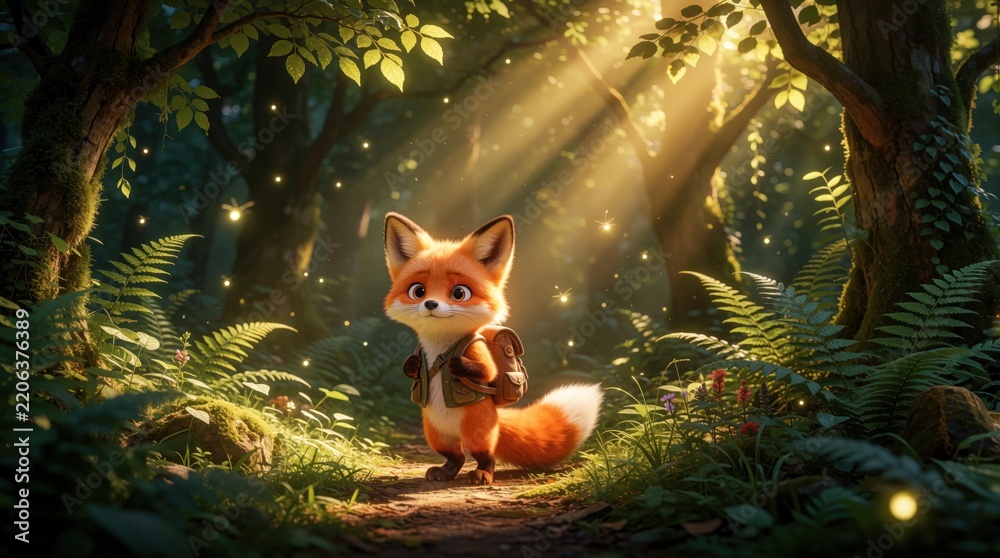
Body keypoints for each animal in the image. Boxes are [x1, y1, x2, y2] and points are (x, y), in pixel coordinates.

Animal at [383, 212, 602, 485]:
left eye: (459, 293)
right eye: (418, 291)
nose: (430, 304)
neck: (441, 346)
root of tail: (496, 418)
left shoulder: (476, 349)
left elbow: (488, 372)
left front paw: (458, 366)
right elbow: (412, 367)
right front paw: (411, 365)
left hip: (477, 433)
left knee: (485, 455)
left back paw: (482, 474)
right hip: (435, 435)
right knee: (456, 456)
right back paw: (444, 471)